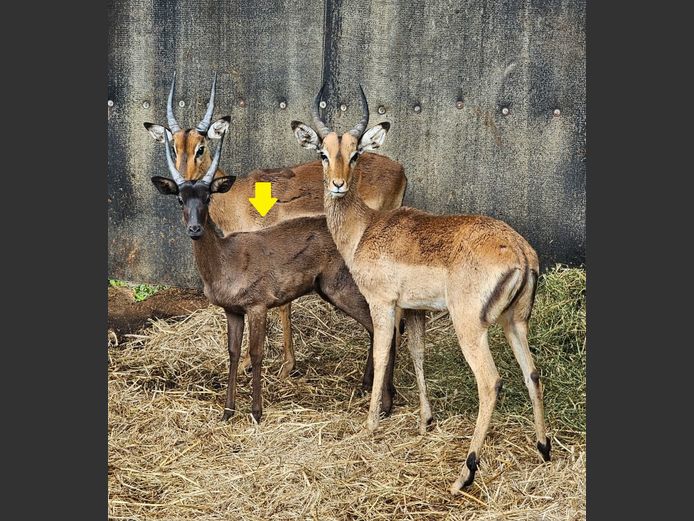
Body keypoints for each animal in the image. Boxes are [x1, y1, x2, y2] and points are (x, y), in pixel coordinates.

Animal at [144, 74, 406, 392]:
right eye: (173, 147)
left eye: (201, 147)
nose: (186, 182)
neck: (237, 198)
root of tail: (401, 170)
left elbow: (281, 308)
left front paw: (279, 365)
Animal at [291, 85, 551, 493]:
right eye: (323, 153)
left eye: (355, 152)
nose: (337, 185)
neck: (365, 229)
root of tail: (521, 251)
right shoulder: (416, 311)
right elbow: (417, 354)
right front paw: (426, 420)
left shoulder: (383, 304)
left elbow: (383, 354)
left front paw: (370, 424)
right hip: (515, 323)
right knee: (532, 373)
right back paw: (543, 448)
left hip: (470, 328)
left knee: (490, 382)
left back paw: (465, 474)